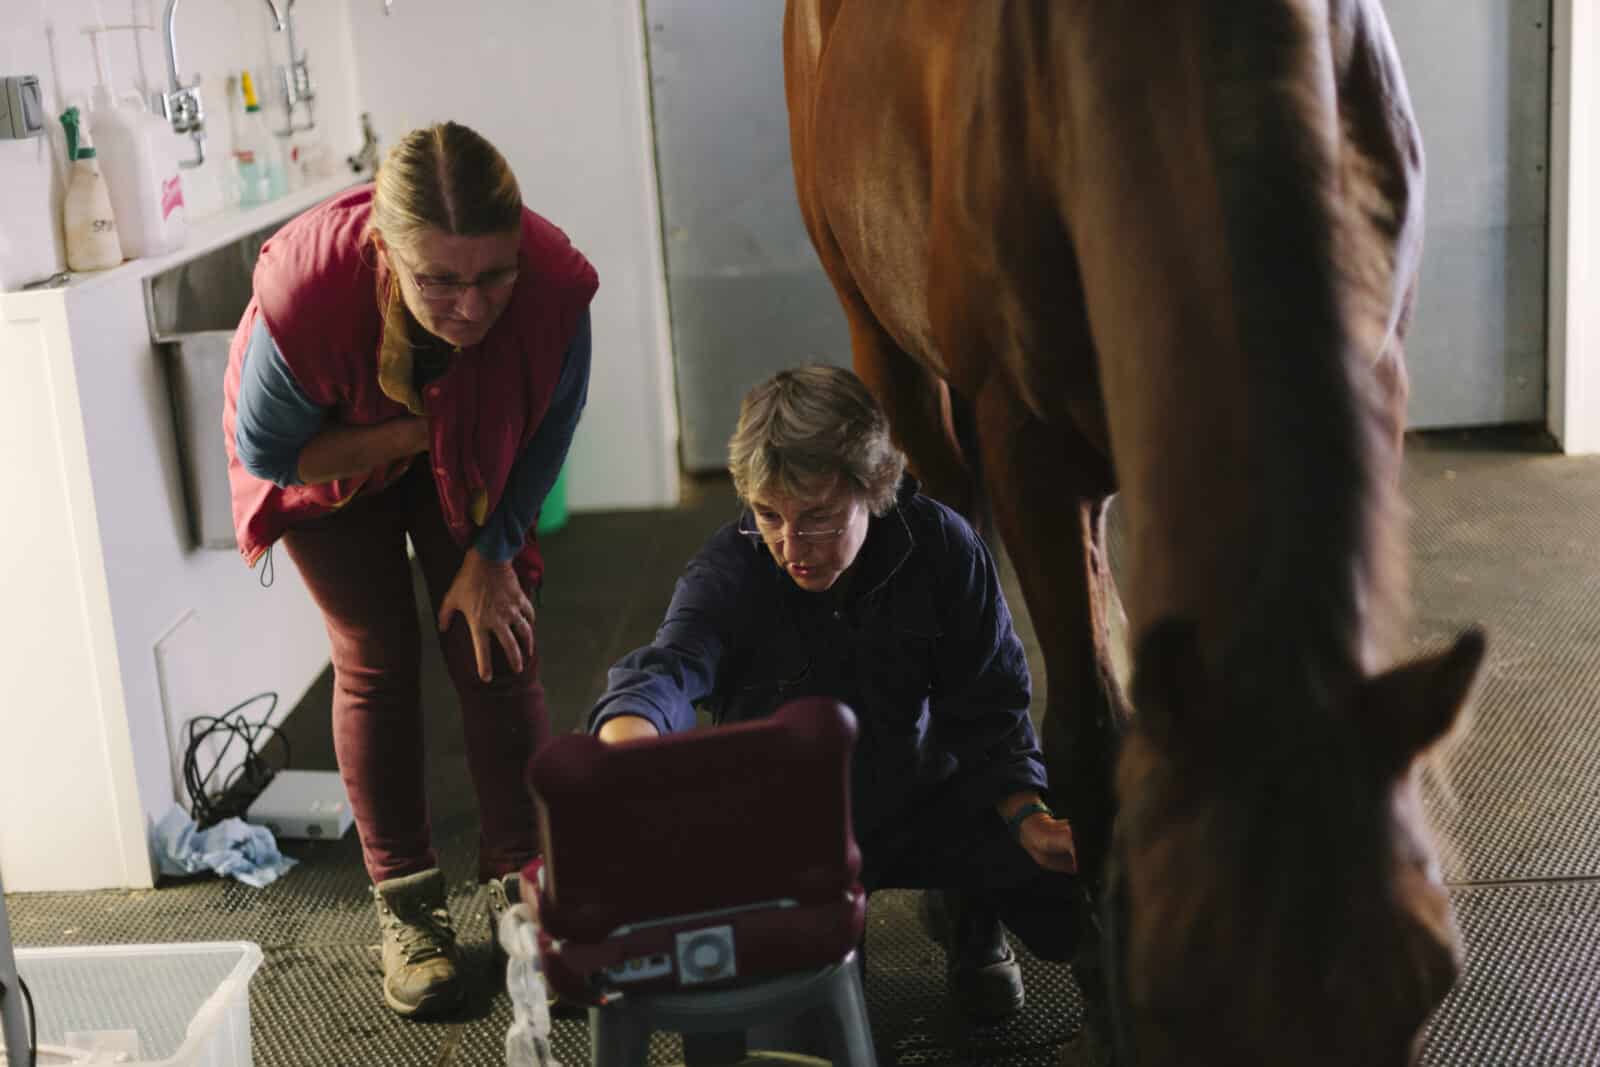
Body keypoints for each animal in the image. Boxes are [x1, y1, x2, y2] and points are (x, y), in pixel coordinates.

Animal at [787, 2, 1484, 1067]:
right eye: (1174, 1000)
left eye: (1429, 981)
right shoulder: (1029, 446)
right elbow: (1085, 735)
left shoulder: (1374, 379)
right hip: (887, 344)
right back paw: (975, 937)